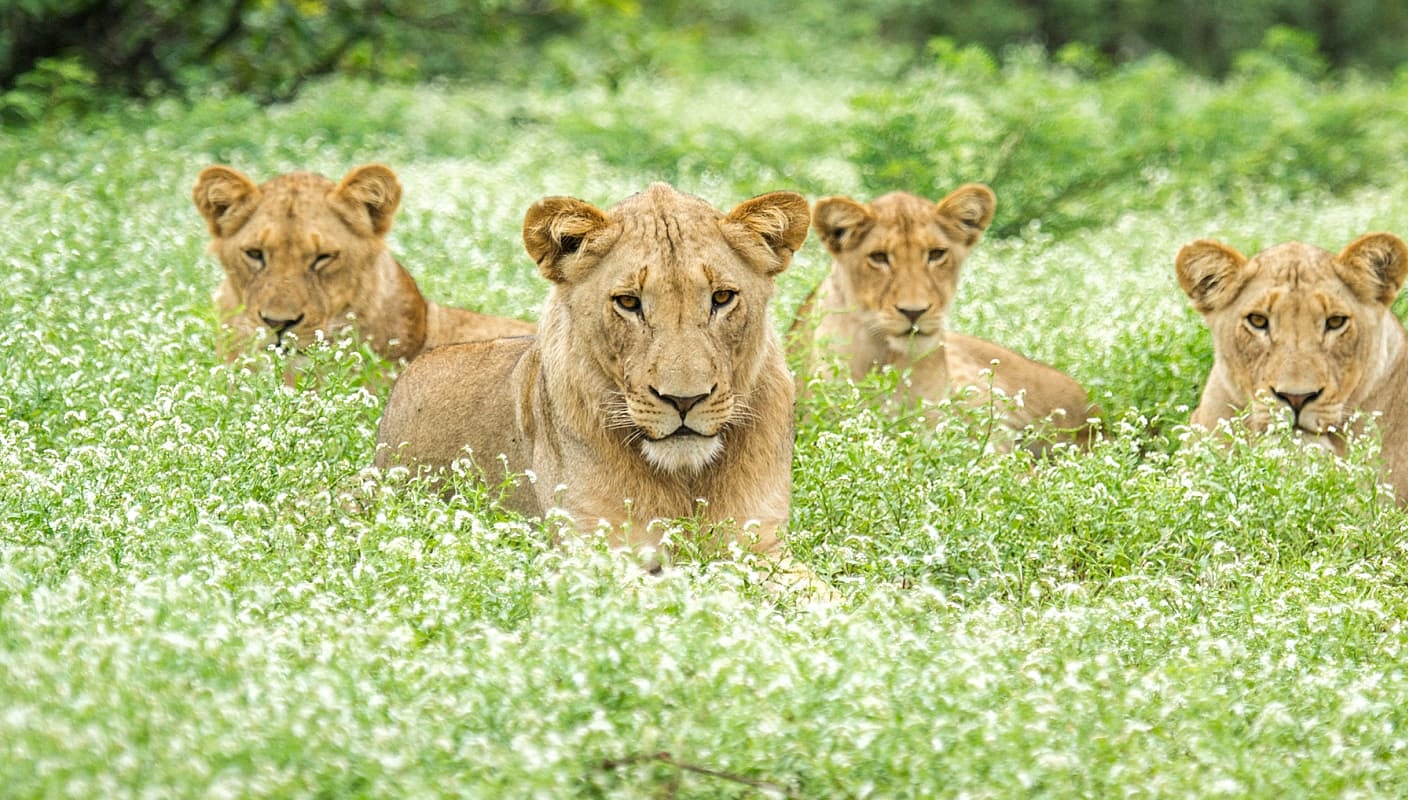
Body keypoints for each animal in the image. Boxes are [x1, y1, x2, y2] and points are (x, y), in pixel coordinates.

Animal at [373, 183, 810, 555]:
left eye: (722, 298)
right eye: (629, 302)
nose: (684, 400)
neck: (685, 479)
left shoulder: (762, 546)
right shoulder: (600, 550)